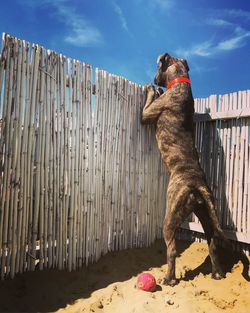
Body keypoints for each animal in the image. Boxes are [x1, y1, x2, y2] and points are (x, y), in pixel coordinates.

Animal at [142, 53, 228, 286]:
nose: (154, 79)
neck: (181, 82)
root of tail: (197, 186)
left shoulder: (146, 114)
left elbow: (147, 107)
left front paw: (152, 90)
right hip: (207, 216)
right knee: (213, 245)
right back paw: (217, 273)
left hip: (170, 217)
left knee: (171, 250)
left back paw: (169, 278)